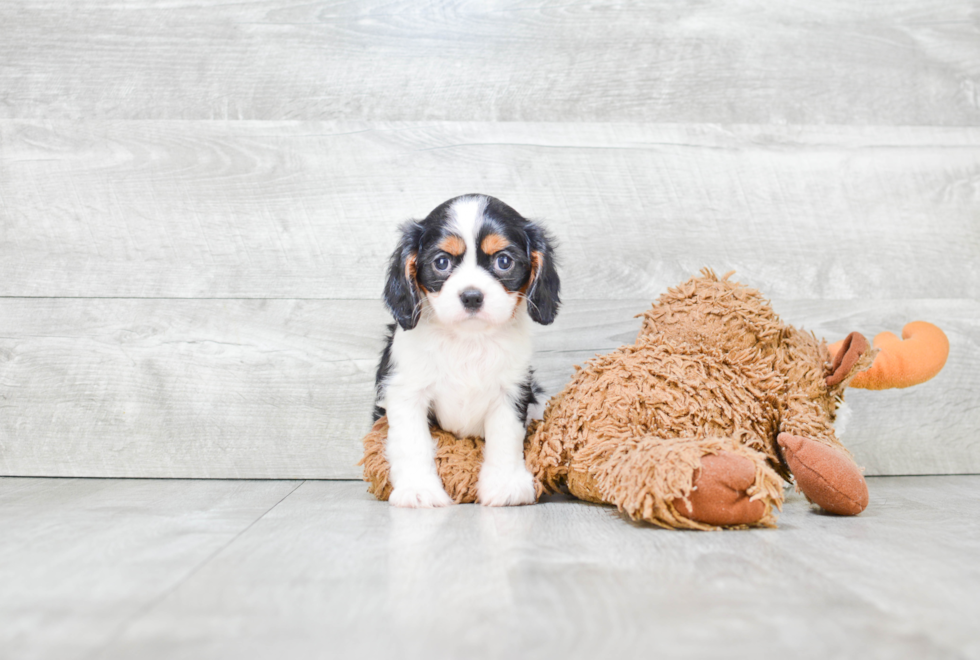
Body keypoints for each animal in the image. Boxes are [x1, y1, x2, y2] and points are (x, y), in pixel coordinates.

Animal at [374, 193, 560, 508]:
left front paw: (505, 484)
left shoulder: (512, 390)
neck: (468, 339)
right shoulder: (406, 392)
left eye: (504, 261)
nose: (472, 296)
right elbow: (413, 443)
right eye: (442, 262)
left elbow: (505, 437)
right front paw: (418, 489)